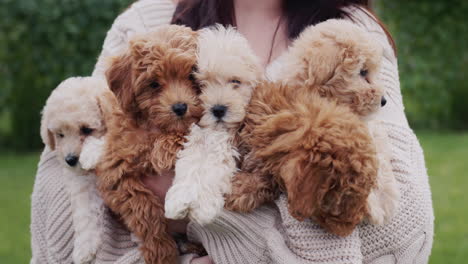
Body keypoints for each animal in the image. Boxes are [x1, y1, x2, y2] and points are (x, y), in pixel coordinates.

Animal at [40, 76, 109, 262]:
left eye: (86, 129)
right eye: (60, 134)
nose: (70, 160)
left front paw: (91, 154)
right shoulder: (81, 184)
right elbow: (85, 213)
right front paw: (84, 249)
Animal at [96, 25, 202, 264]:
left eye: (191, 75)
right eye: (154, 84)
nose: (180, 107)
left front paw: (163, 151)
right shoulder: (116, 173)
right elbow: (143, 210)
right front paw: (161, 252)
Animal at [165, 24, 262, 225]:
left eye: (235, 81)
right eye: (201, 85)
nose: (218, 109)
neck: (215, 131)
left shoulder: (227, 145)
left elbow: (213, 169)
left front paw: (203, 208)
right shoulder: (196, 136)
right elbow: (191, 163)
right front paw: (179, 202)